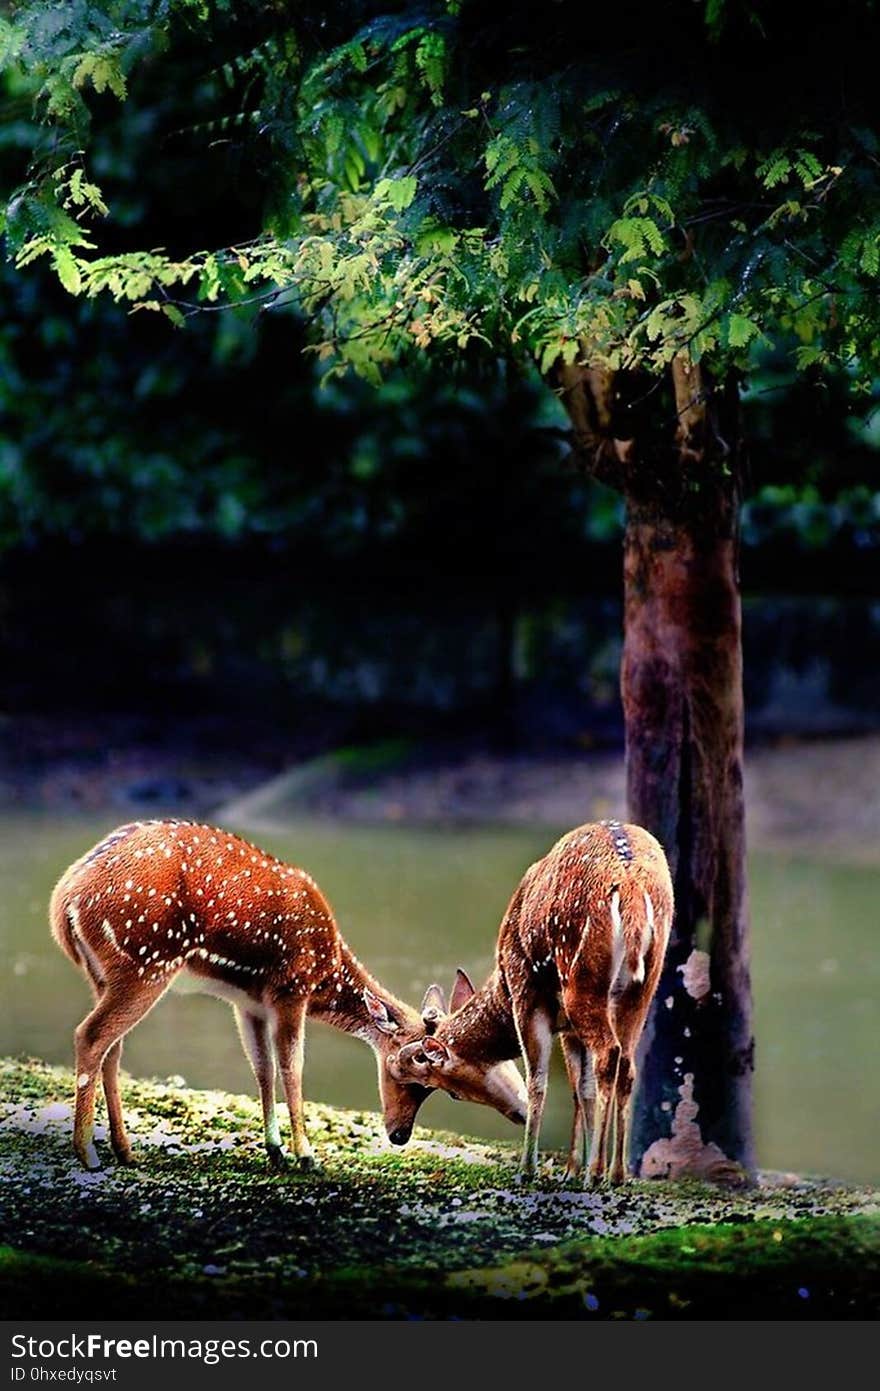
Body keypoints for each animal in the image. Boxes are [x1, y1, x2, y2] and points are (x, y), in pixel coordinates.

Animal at [49, 817, 528, 1168]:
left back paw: (126, 1150)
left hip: (106, 974)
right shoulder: (291, 987)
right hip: (146, 961)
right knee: (90, 1036)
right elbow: (292, 1067)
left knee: (112, 1048)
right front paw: (306, 1154)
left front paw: (276, 1149)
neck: (326, 972)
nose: (398, 1135)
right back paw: (88, 1153)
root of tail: (63, 903)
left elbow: (262, 1069)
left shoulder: (248, 1002)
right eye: (409, 1071)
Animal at [392, 817, 672, 1190]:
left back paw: (596, 1172)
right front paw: (570, 1169)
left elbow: (538, 1080)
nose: (397, 1135)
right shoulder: (567, 1027)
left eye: (452, 1091)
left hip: (582, 980)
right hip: (642, 987)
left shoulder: (526, 991)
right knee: (626, 1066)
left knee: (608, 1056)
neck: (503, 986)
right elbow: (579, 1088)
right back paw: (617, 1174)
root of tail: (632, 889)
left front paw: (529, 1169)